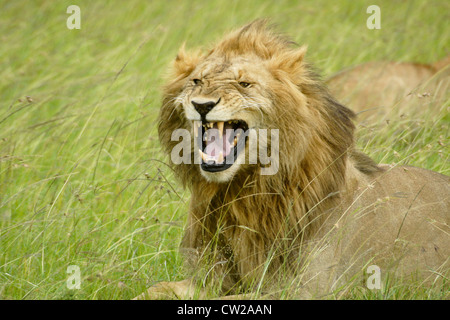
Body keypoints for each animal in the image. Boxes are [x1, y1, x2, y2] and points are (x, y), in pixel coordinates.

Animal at [134, 20, 450, 300]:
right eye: (196, 81)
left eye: (244, 84)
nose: (202, 105)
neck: (242, 193)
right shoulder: (210, 278)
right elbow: (153, 289)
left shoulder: (308, 290)